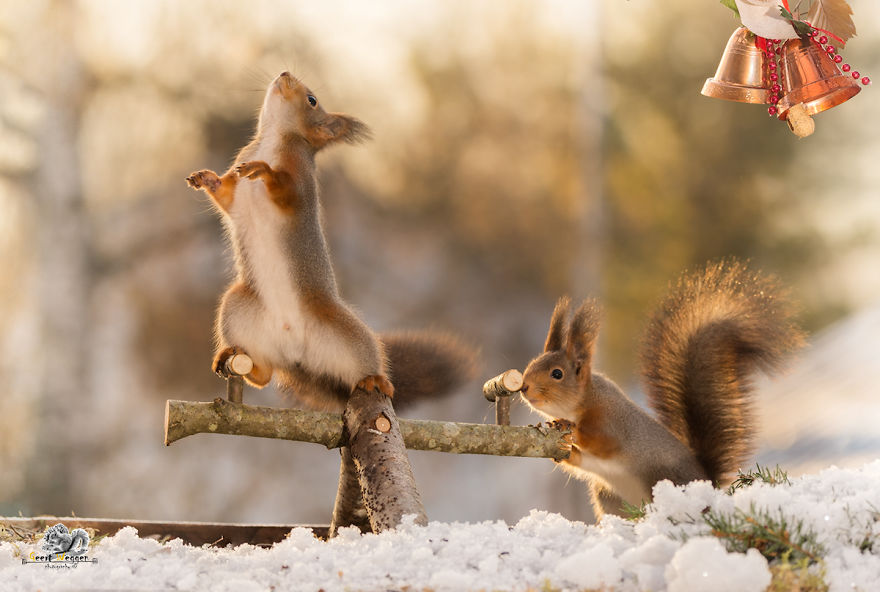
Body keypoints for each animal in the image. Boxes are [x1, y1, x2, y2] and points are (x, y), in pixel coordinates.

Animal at [186, 72, 475, 411]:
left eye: (312, 99)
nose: (284, 74)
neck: (272, 138)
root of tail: (295, 355)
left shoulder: (300, 182)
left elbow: (285, 191)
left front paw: (263, 170)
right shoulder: (235, 188)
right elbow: (225, 196)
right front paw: (205, 178)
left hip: (346, 334)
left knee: (364, 362)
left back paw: (378, 380)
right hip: (237, 311)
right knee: (263, 375)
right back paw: (233, 355)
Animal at [519, 260, 804, 518]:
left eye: (557, 374)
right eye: (531, 363)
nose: (523, 387)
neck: (586, 400)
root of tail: (706, 483)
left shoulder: (613, 423)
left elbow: (601, 443)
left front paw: (570, 428)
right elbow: (582, 462)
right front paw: (561, 448)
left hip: (662, 481)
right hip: (608, 495)